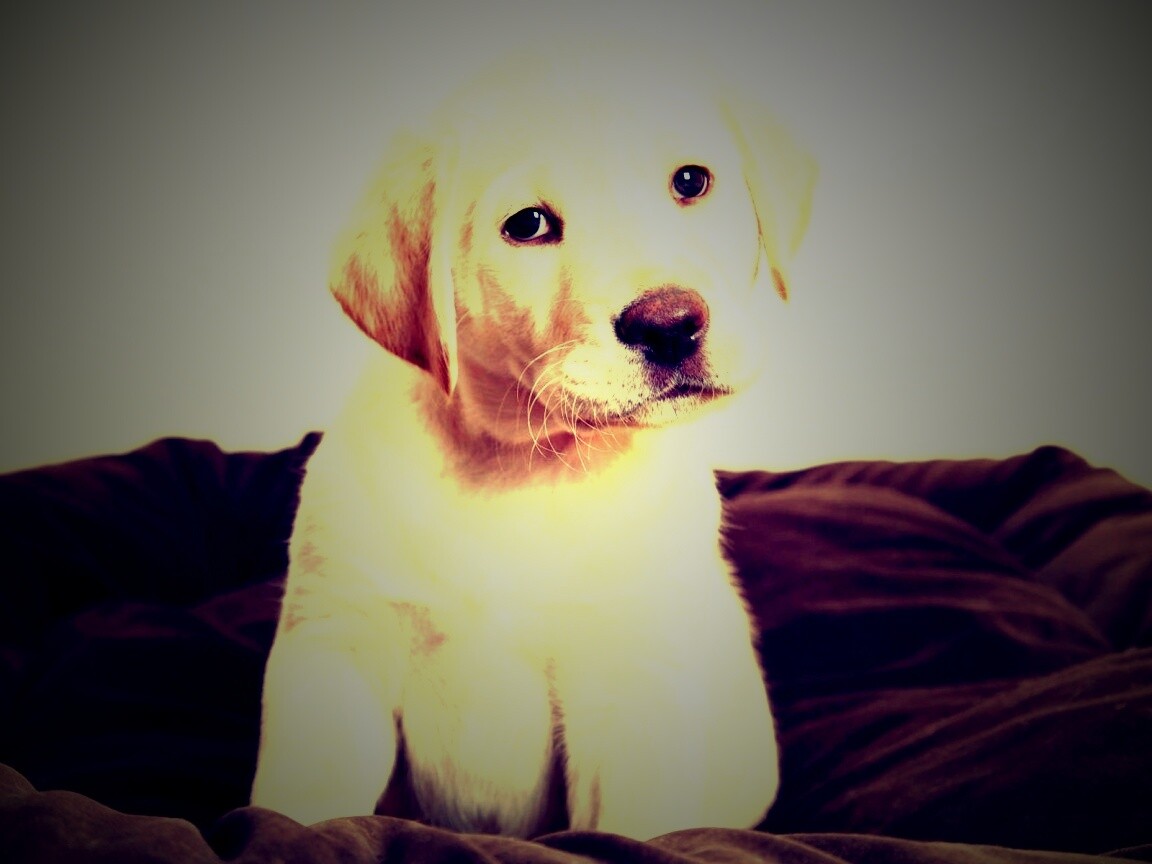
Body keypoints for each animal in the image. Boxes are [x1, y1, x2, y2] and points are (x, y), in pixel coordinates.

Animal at [251, 47, 815, 840]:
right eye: (529, 225)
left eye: (691, 182)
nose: (670, 324)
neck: (523, 466)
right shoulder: (334, 658)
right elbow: (299, 814)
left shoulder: (632, 690)